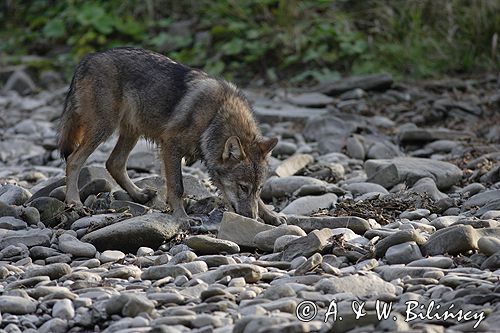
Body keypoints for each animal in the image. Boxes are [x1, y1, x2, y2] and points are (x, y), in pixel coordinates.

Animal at [57, 47, 286, 226]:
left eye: (259, 188)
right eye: (242, 187)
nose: (252, 218)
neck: (214, 116)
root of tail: (87, 59)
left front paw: (270, 215)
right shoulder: (170, 146)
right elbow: (177, 187)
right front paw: (182, 217)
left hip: (132, 131)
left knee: (114, 163)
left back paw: (139, 195)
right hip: (104, 129)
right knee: (74, 160)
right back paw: (74, 202)